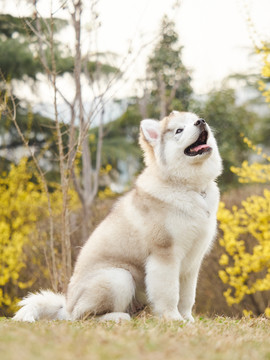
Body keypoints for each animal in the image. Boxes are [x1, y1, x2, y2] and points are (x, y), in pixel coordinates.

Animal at [13, 111, 223, 322]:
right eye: (179, 130)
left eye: (194, 119)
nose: (201, 122)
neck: (192, 188)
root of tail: (66, 308)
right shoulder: (165, 255)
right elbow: (170, 293)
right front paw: (172, 318)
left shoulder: (192, 262)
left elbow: (187, 296)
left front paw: (188, 320)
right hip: (119, 277)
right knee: (85, 316)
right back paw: (116, 317)